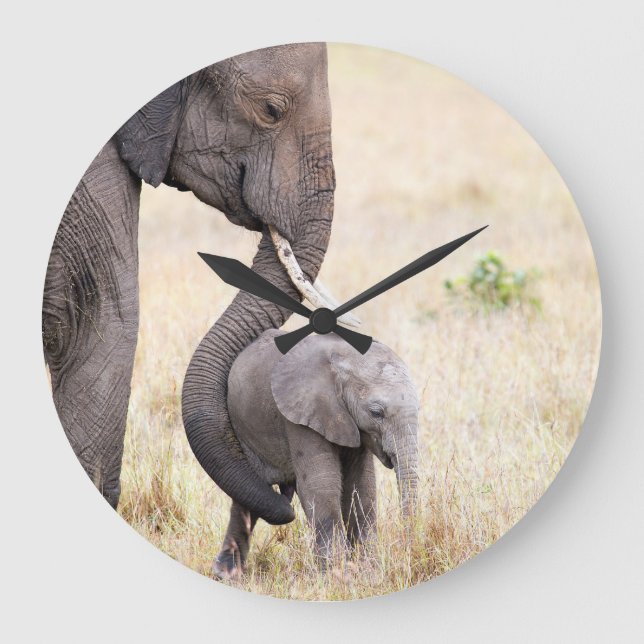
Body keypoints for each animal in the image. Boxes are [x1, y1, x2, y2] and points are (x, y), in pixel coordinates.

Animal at [212, 329, 420, 578]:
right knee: (249, 491)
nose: (408, 553)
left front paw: (368, 571)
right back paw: (227, 574)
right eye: (376, 413)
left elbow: (361, 487)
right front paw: (337, 575)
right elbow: (321, 485)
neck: (344, 357)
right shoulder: (301, 413)